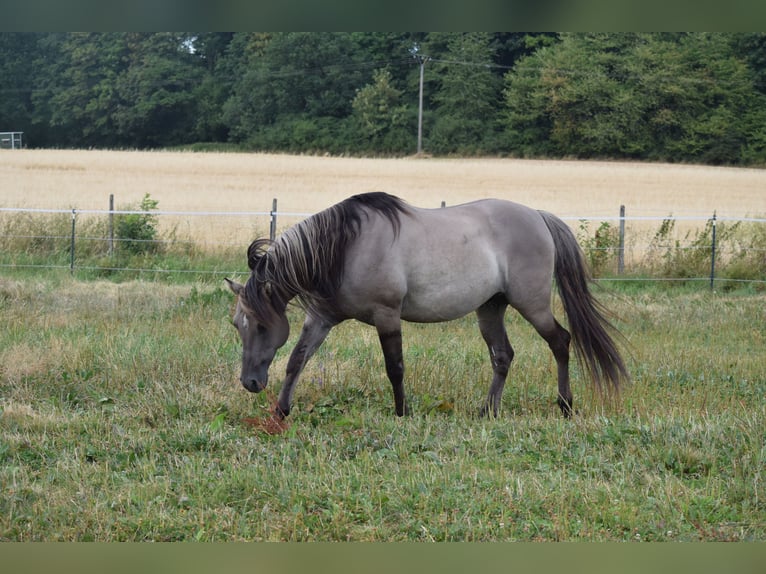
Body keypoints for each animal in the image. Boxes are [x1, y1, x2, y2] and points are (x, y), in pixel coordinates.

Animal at [226, 192, 628, 419]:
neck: (346, 246)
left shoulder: (387, 316)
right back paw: (487, 412)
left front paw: (402, 412)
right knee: (503, 356)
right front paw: (281, 410)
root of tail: (539, 216)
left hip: (532, 304)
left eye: (261, 325)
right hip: (490, 308)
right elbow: (297, 360)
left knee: (560, 341)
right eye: (237, 325)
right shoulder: (321, 317)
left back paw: (565, 406)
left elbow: (395, 368)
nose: (250, 382)